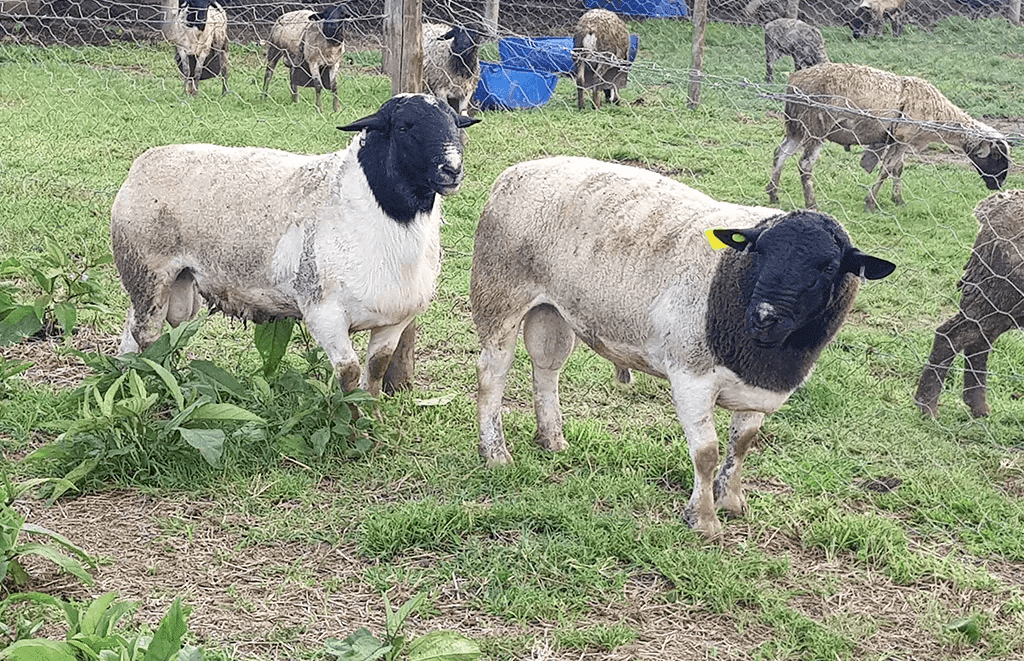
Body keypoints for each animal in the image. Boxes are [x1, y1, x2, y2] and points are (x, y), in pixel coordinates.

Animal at [110, 94, 480, 398]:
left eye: (455, 123)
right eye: (404, 127)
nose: (452, 169)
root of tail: (144, 161)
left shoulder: (394, 319)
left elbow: (375, 372)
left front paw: (373, 425)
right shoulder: (324, 313)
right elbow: (349, 374)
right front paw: (353, 430)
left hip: (177, 284)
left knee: (141, 329)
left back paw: (129, 376)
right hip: (148, 272)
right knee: (147, 336)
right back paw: (151, 385)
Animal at [471, 156, 895, 538]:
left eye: (829, 267)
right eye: (758, 252)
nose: (764, 315)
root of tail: (516, 171)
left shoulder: (756, 387)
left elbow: (742, 444)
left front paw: (731, 501)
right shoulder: (691, 376)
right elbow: (706, 452)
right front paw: (703, 520)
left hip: (551, 309)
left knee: (546, 368)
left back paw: (552, 440)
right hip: (499, 293)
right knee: (492, 374)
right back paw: (495, 454)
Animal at [767, 62, 1010, 211]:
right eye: (996, 156)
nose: (999, 185)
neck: (939, 113)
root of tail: (795, 80)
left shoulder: (899, 141)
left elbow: (897, 169)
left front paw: (898, 200)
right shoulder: (903, 138)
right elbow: (886, 169)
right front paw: (871, 203)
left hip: (796, 127)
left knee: (780, 153)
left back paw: (773, 195)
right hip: (816, 127)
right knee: (805, 164)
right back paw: (811, 204)